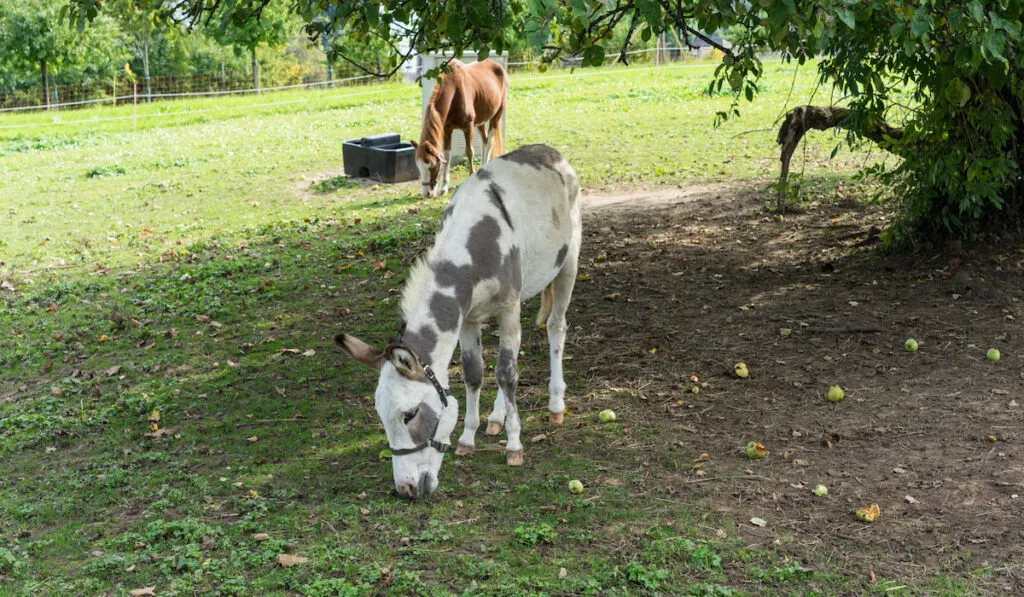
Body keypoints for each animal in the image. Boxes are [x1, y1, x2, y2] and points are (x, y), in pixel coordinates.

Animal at [405, 58, 505, 198]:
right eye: (418, 165)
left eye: (431, 165)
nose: (426, 193)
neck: (455, 91)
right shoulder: (447, 129)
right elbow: (447, 155)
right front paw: (443, 188)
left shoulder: (468, 126)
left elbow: (469, 152)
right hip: (480, 121)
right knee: (484, 141)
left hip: (497, 115)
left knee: (489, 141)